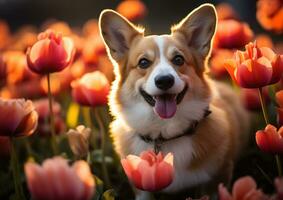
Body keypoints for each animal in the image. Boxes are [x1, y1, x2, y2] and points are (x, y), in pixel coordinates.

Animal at [98, 3, 250, 200]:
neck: (165, 133)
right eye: (143, 62)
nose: (164, 80)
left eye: (179, 59)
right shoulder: (141, 188)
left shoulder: (217, 180)